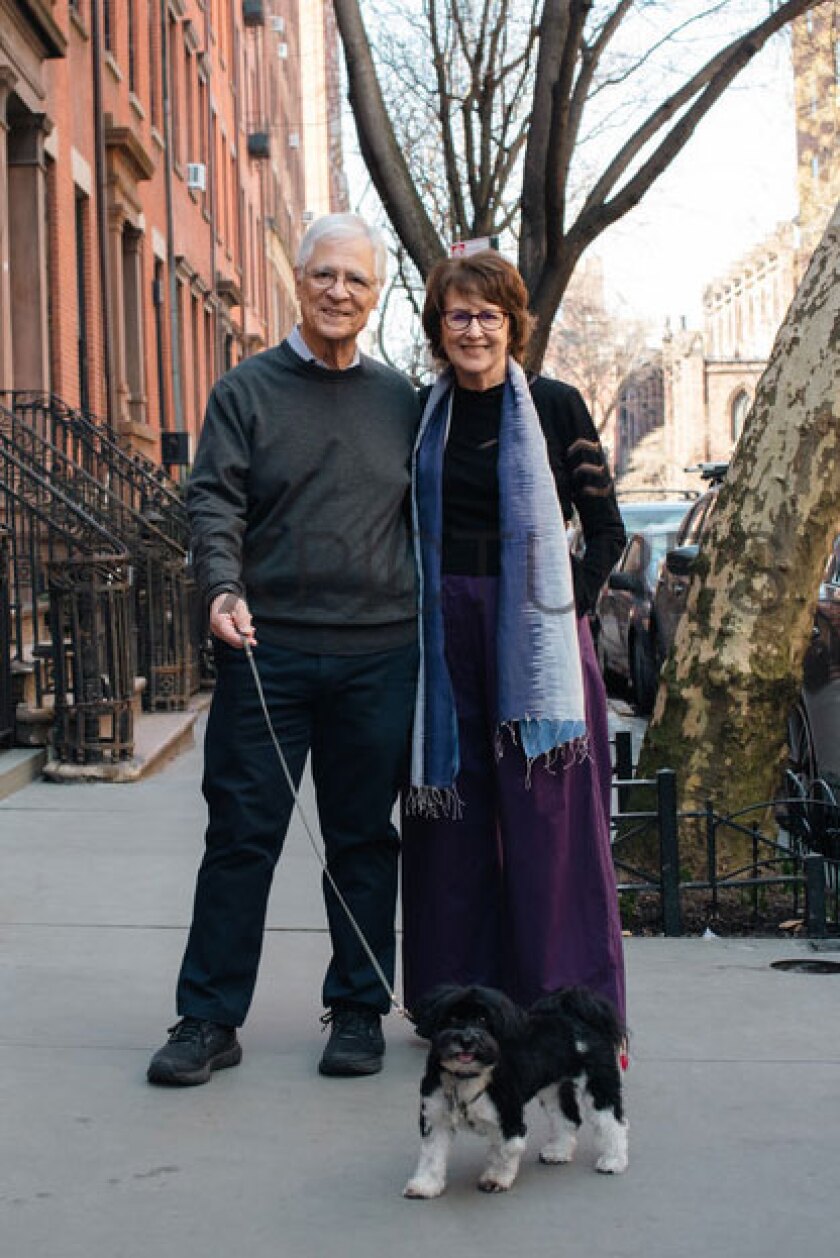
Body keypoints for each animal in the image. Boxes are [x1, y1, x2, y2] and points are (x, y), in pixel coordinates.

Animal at [402, 981, 626, 1197]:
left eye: (483, 1019)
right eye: (452, 1017)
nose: (466, 1040)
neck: (466, 1075)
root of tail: (576, 1016)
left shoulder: (508, 1117)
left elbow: (505, 1151)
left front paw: (495, 1179)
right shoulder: (436, 1116)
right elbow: (432, 1155)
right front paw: (425, 1185)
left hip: (599, 1085)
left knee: (613, 1122)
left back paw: (614, 1160)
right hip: (553, 1089)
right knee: (568, 1118)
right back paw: (558, 1152)